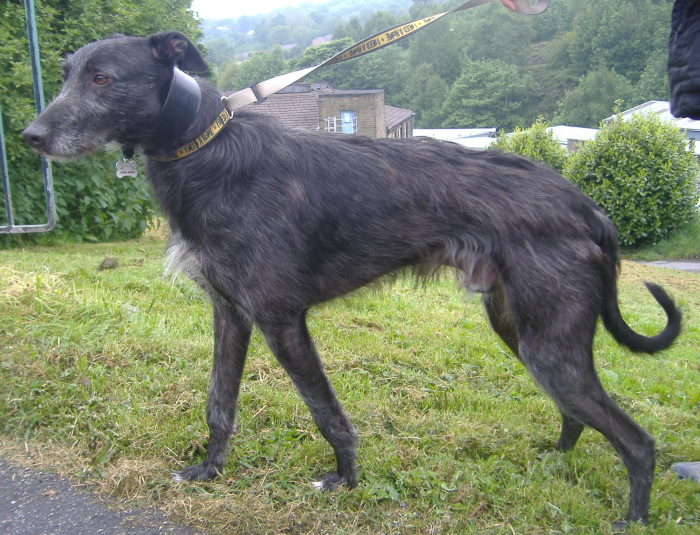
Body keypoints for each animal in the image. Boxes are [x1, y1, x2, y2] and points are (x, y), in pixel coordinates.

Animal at [23, 32, 684, 528]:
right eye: (67, 73)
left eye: (102, 78)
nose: (31, 137)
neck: (202, 148)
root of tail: (588, 207)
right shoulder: (230, 314)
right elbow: (219, 404)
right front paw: (210, 472)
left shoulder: (282, 320)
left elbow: (325, 410)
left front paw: (344, 481)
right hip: (522, 330)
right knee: (578, 413)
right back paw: (556, 462)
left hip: (548, 343)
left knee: (638, 441)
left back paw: (632, 519)